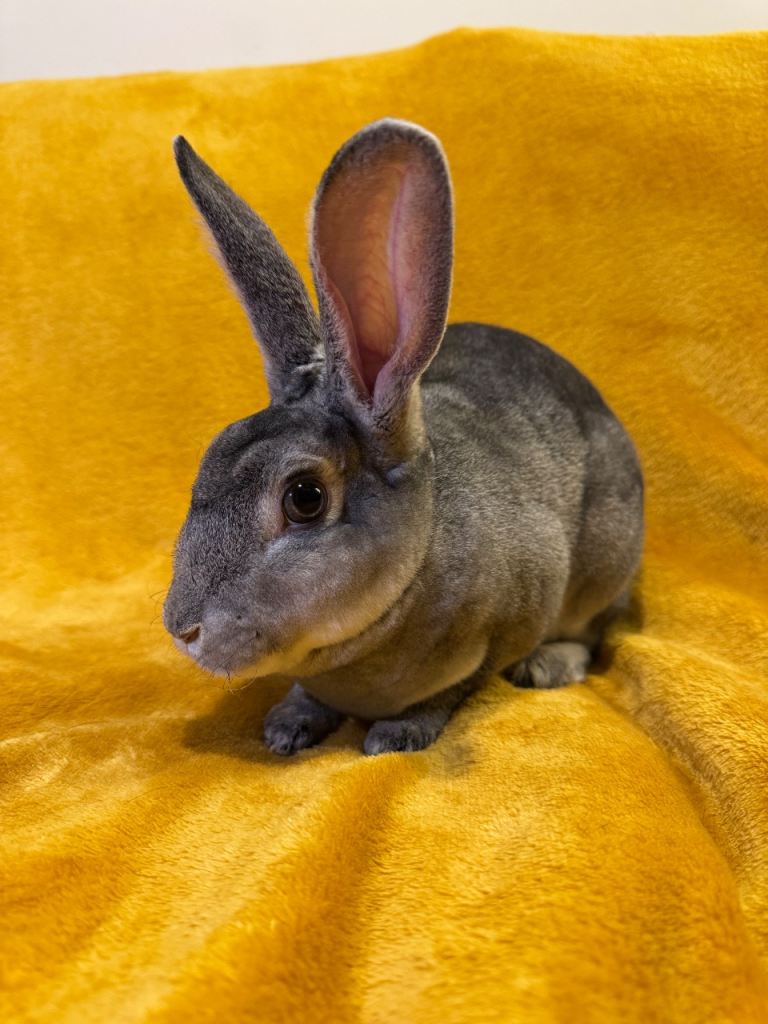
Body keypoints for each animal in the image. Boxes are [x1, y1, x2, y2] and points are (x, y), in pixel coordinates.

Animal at [163, 118, 644, 757]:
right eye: (211, 455)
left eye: (305, 498)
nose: (181, 628)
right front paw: (288, 727)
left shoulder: (501, 629)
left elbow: (451, 691)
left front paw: (395, 737)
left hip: (605, 563)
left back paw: (546, 665)